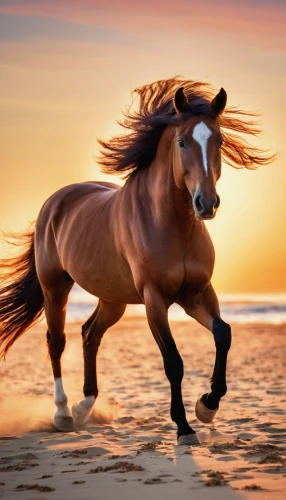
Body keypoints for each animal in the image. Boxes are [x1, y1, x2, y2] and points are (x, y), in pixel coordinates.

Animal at [0, 76, 274, 444]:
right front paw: (184, 427)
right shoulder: (154, 299)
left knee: (90, 334)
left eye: (219, 140)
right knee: (57, 342)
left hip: (112, 298)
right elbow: (173, 361)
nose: (206, 204)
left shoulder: (197, 293)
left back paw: (84, 407)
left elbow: (224, 333)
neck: (172, 224)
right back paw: (63, 414)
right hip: (55, 288)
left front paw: (207, 406)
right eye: (182, 141)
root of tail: (55, 203)